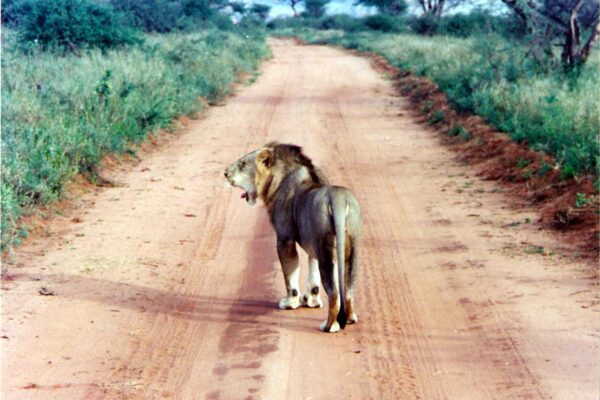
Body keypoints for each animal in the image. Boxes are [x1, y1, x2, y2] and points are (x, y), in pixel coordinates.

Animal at [224, 148, 328, 310]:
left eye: (244, 163)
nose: (225, 173)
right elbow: (314, 273)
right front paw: (312, 301)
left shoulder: (285, 239)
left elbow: (289, 275)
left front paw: (290, 303)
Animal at [254, 142, 360, 332]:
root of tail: (339, 199)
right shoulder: (313, 243)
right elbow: (312, 270)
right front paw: (310, 300)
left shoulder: (285, 238)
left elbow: (290, 272)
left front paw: (290, 303)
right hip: (351, 244)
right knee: (348, 288)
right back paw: (350, 318)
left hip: (325, 249)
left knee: (334, 293)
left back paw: (328, 326)